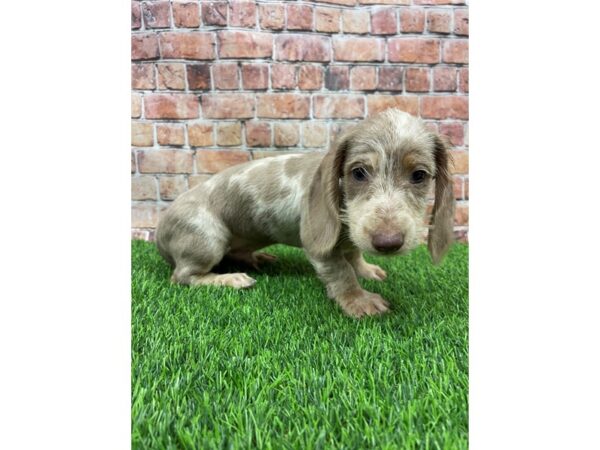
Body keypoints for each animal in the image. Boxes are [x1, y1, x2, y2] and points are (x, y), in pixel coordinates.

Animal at [156, 109, 454, 318]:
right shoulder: (320, 248)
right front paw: (360, 300)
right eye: (358, 172)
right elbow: (342, 272)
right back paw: (230, 279)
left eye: (419, 175)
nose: (388, 243)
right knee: (183, 277)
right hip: (207, 240)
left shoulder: (353, 236)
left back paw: (257, 259)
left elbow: (354, 254)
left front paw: (367, 270)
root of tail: (159, 232)